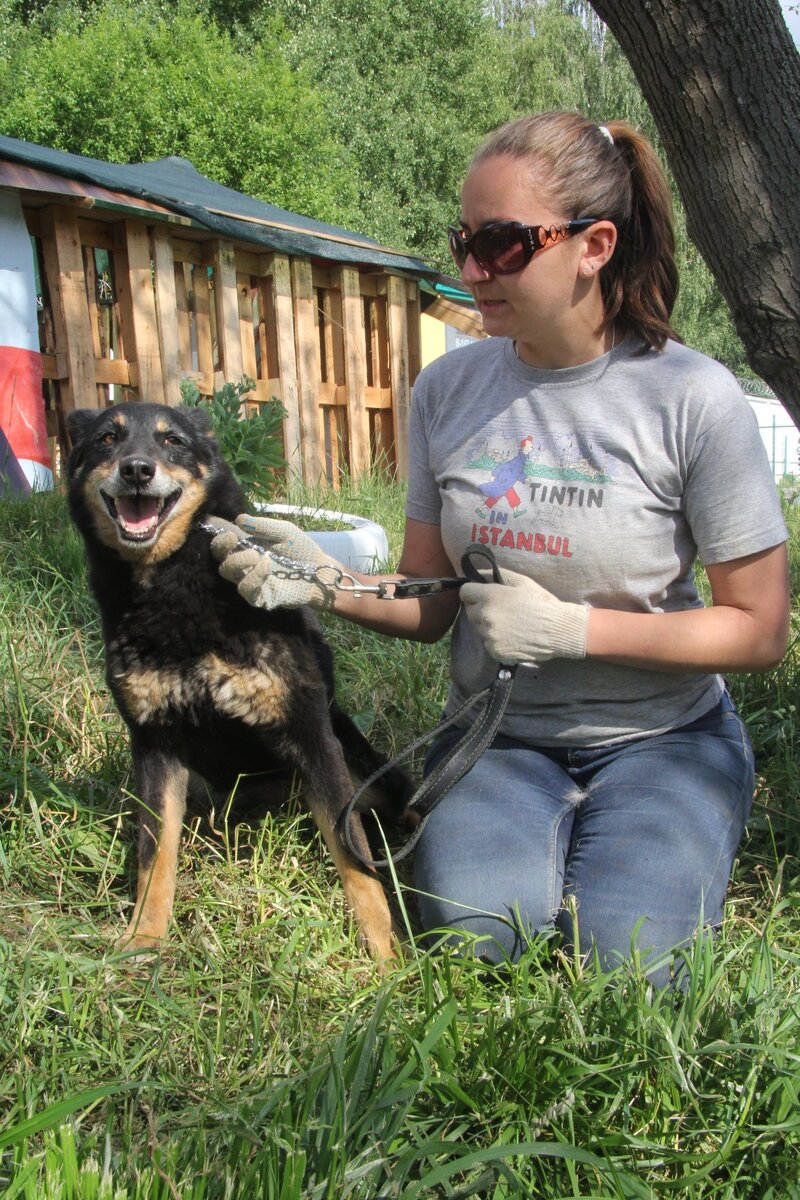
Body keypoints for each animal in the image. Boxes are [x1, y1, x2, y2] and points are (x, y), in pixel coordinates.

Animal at [65, 403, 410, 964]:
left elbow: (355, 859)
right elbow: (153, 853)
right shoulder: (155, 744)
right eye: (106, 438)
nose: (137, 469)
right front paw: (143, 939)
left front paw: (387, 958)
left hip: (366, 772)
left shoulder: (312, 735)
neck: (170, 587)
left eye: (173, 441)